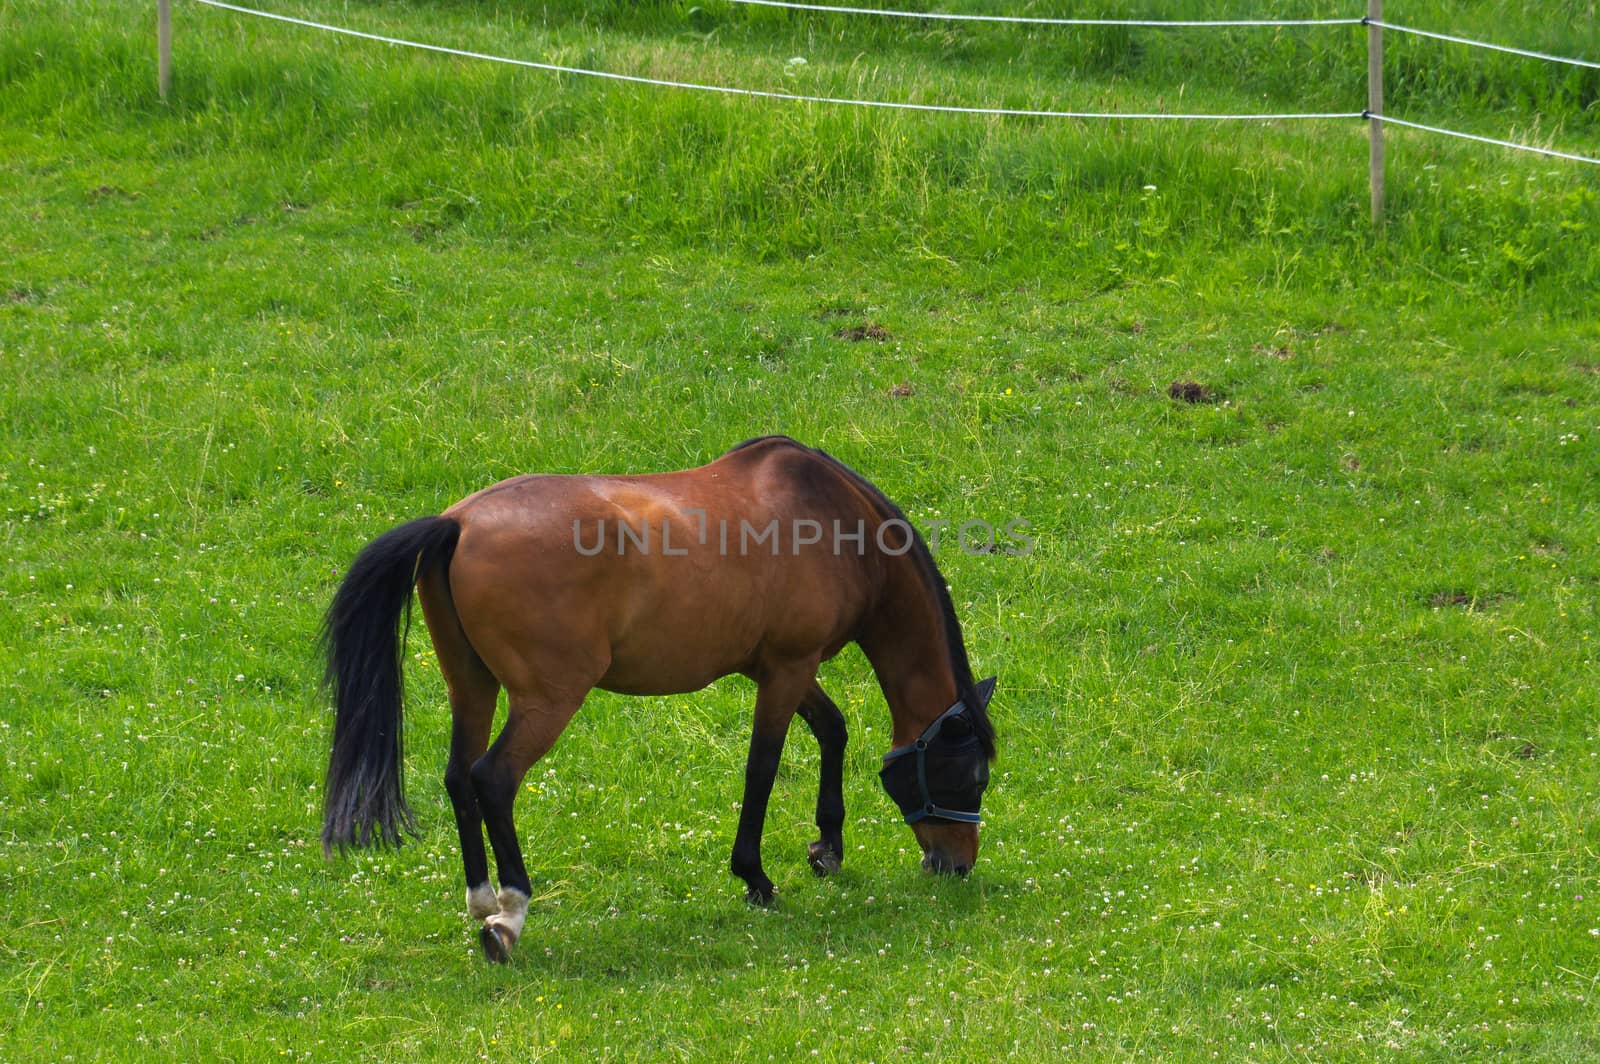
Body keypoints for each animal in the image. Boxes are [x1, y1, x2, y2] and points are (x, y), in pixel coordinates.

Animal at [321, 435, 998, 960]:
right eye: (973, 775)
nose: (956, 865)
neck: (836, 523)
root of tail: (457, 523)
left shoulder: (774, 667)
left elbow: (832, 730)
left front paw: (826, 848)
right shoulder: (788, 666)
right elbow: (763, 767)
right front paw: (755, 877)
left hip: (472, 687)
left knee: (460, 777)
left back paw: (481, 902)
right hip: (548, 698)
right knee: (493, 777)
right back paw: (510, 913)